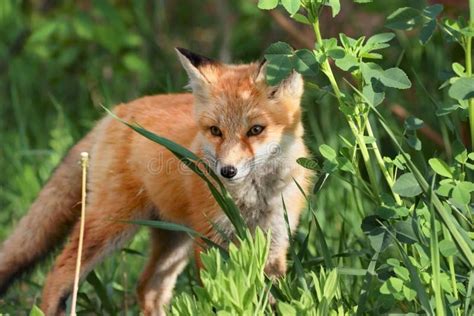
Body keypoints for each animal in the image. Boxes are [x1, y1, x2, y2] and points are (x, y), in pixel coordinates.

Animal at [0, 48, 312, 314]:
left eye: (256, 130)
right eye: (215, 131)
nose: (227, 171)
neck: (252, 200)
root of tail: (115, 113)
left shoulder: (275, 241)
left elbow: (272, 298)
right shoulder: (211, 241)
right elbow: (218, 294)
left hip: (174, 239)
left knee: (147, 287)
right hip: (111, 224)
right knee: (59, 272)